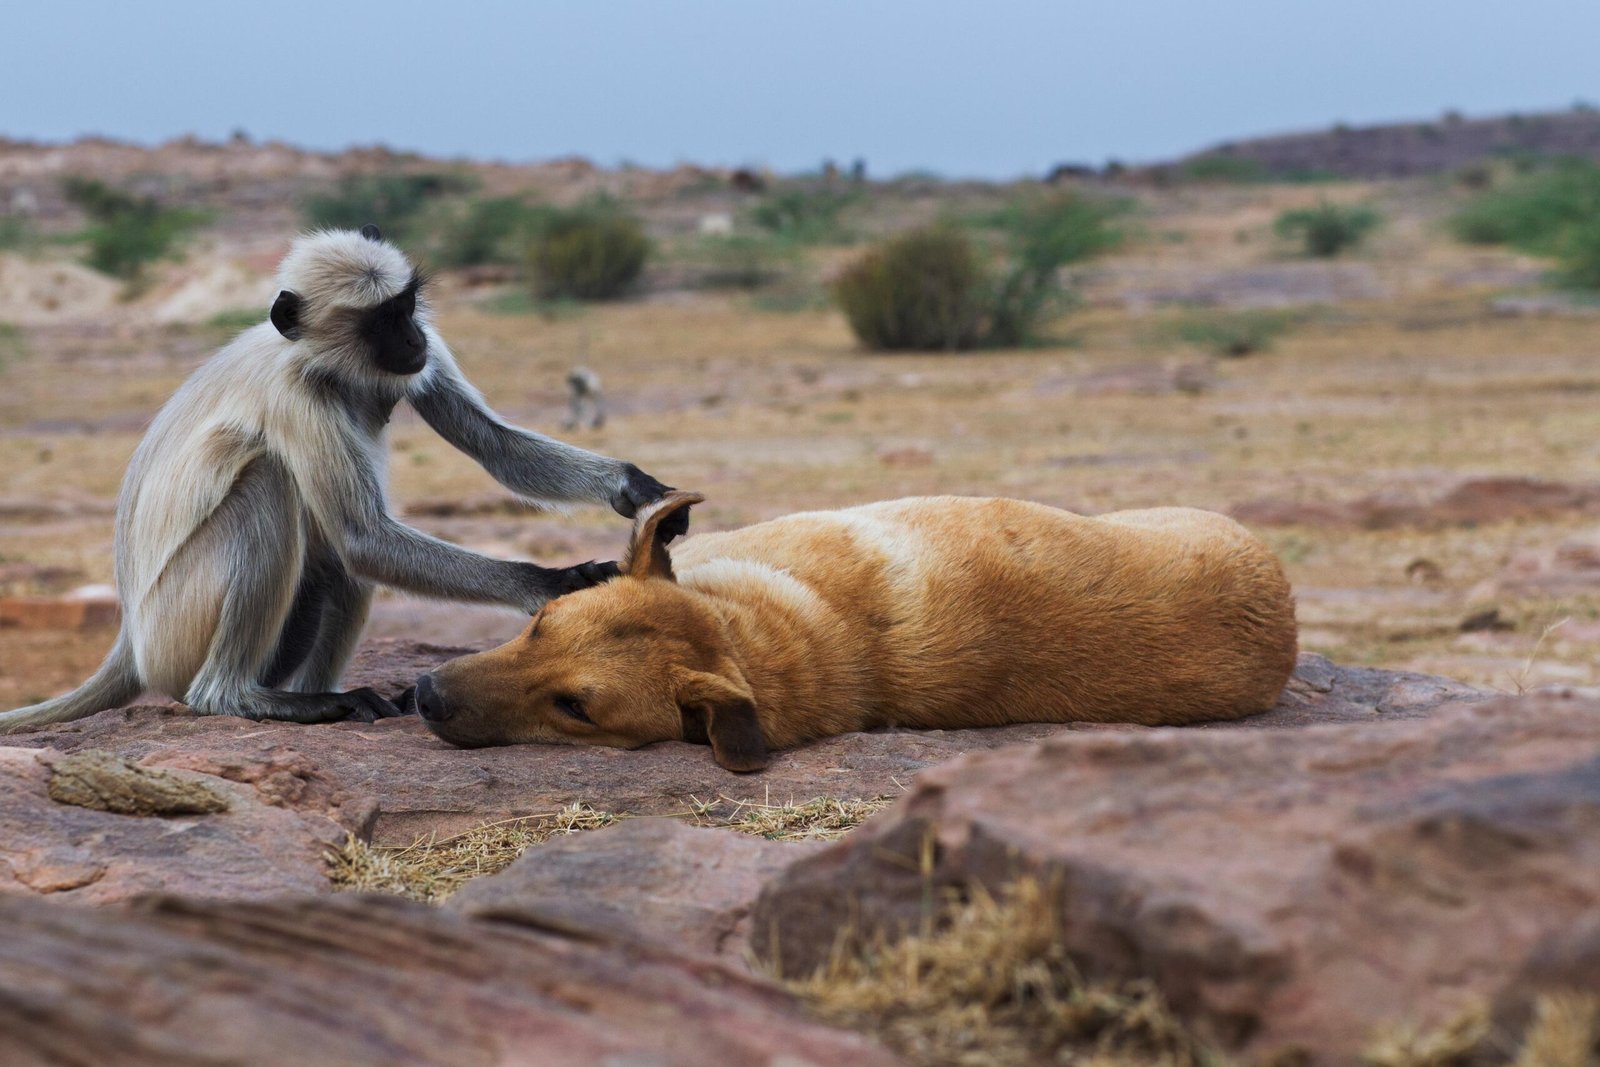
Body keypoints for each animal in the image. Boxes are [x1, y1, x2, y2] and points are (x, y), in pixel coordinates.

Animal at [0, 225, 681, 733]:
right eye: (380, 322)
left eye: (406, 307)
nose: (412, 334)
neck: (321, 363)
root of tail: (130, 641)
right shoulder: (299, 395)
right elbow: (363, 535)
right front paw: (555, 582)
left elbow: (496, 447)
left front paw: (638, 490)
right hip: (177, 629)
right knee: (277, 492)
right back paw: (240, 697)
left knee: (334, 563)